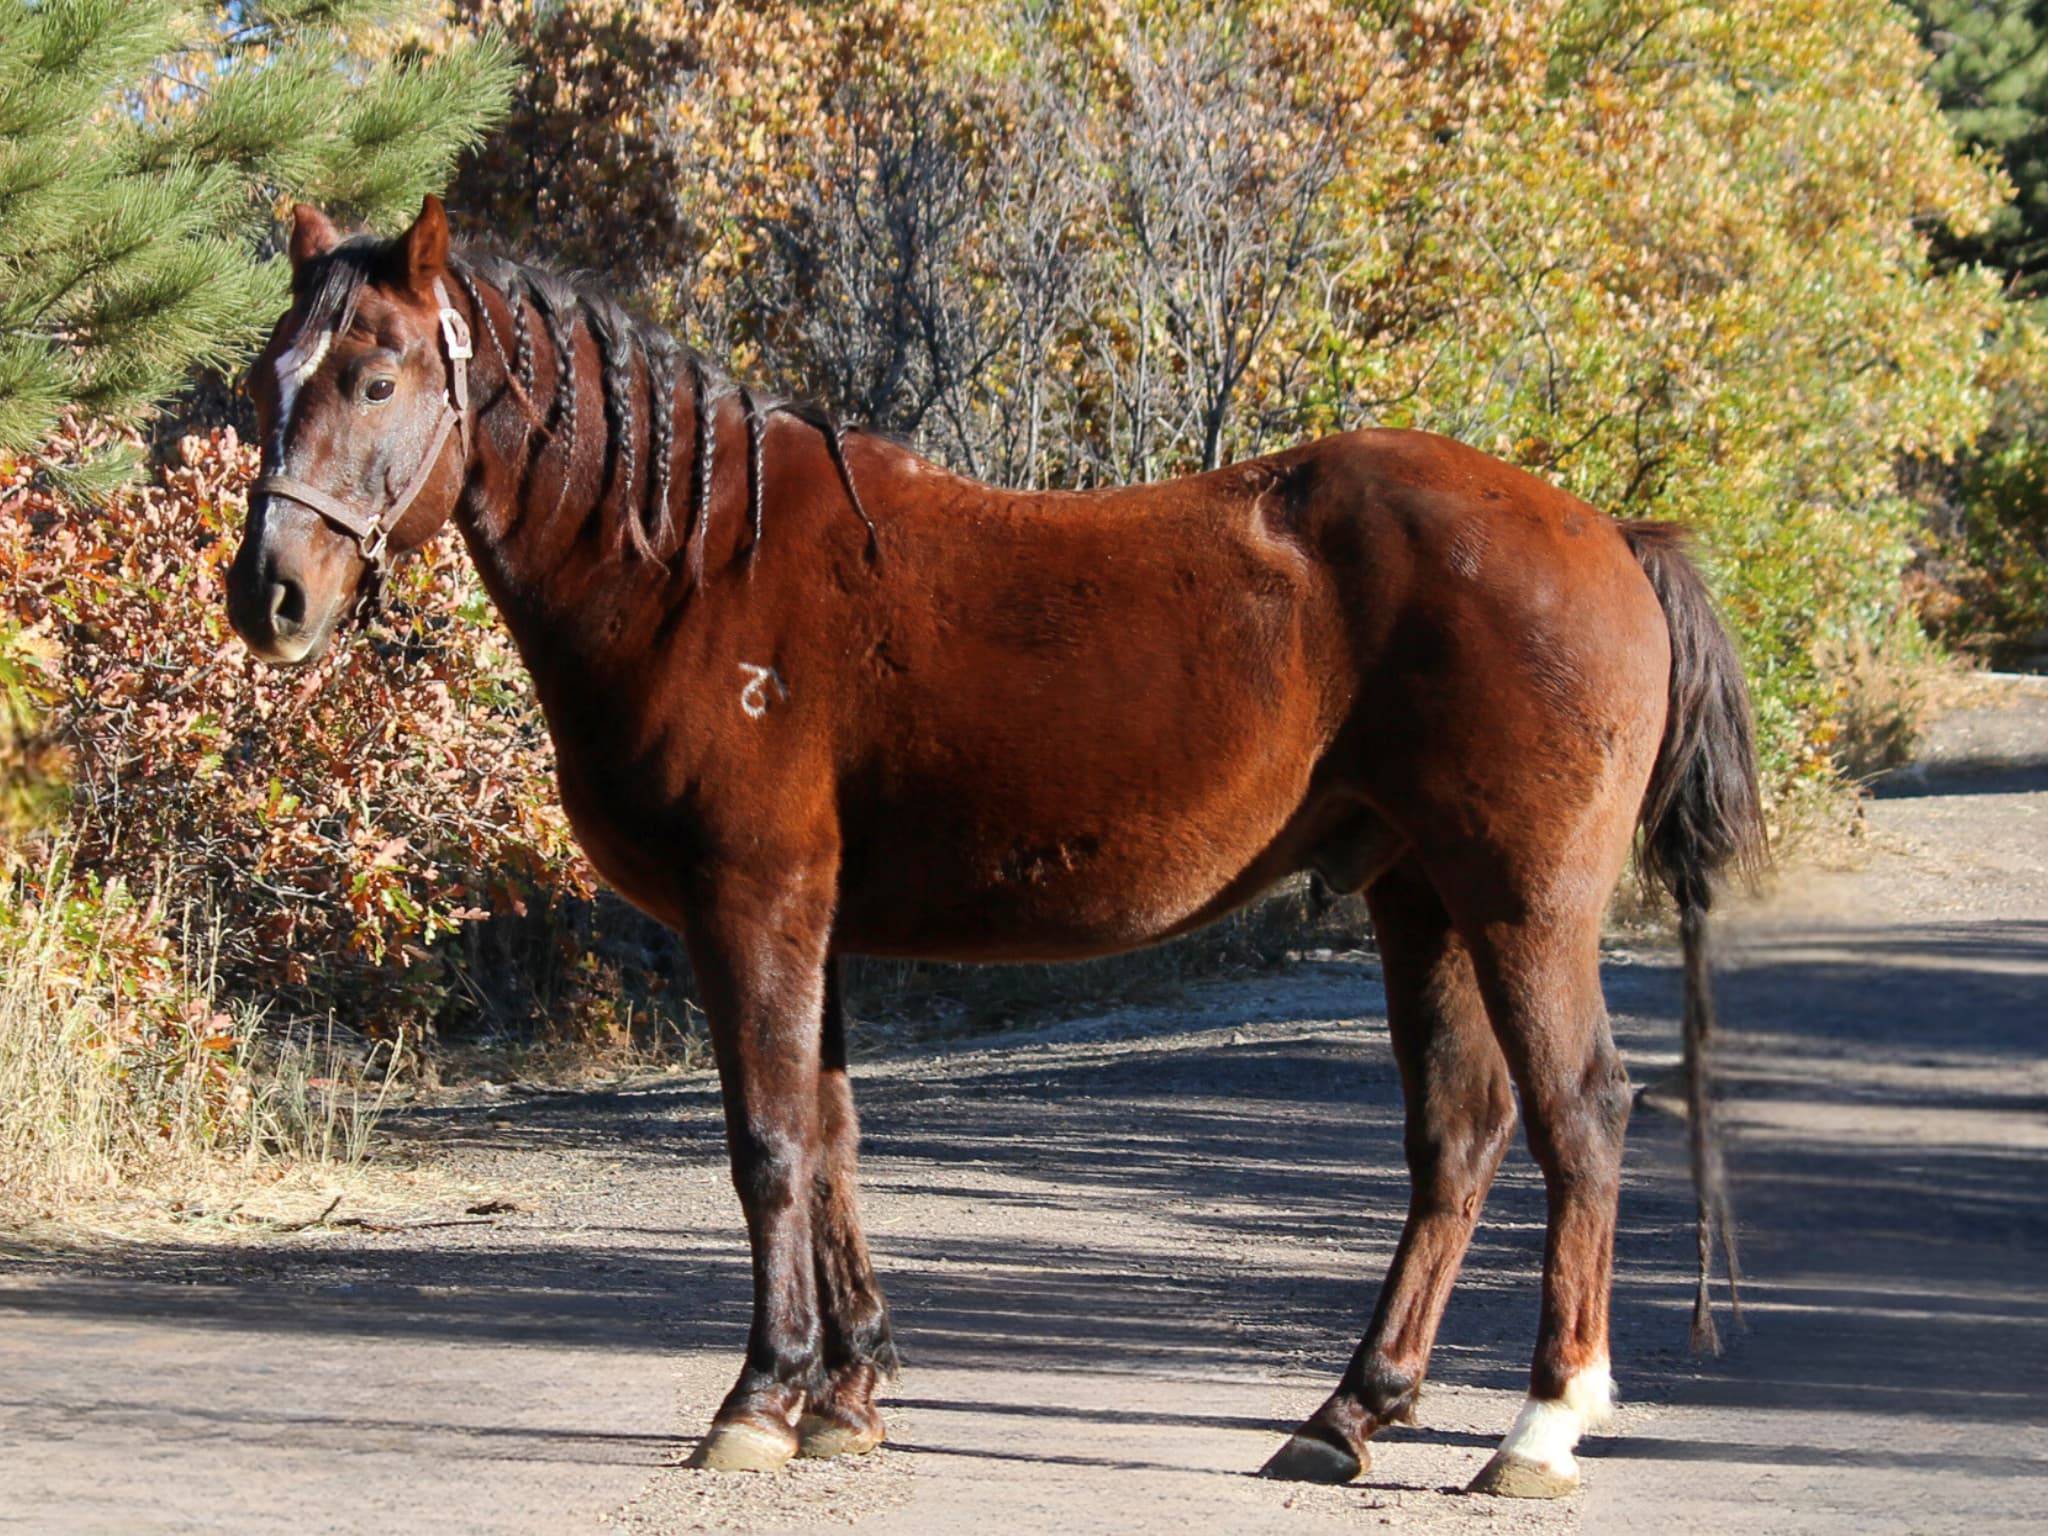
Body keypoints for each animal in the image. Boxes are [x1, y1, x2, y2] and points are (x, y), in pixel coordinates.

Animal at [220, 198, 1761, 1499]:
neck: (700, 566)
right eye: (263, 380)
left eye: (373, 381)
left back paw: (1540, 1427)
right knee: (1460, 1136)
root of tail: (1606, 531)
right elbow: (832, 1142)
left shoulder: (751, 904)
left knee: (1579, 1117)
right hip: (1419, 897)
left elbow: (769, 1146)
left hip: (1518, 900)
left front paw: (757, 1402)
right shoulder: (812, 923)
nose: (268, 598)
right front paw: (844, 1398)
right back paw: (1347, 1417)